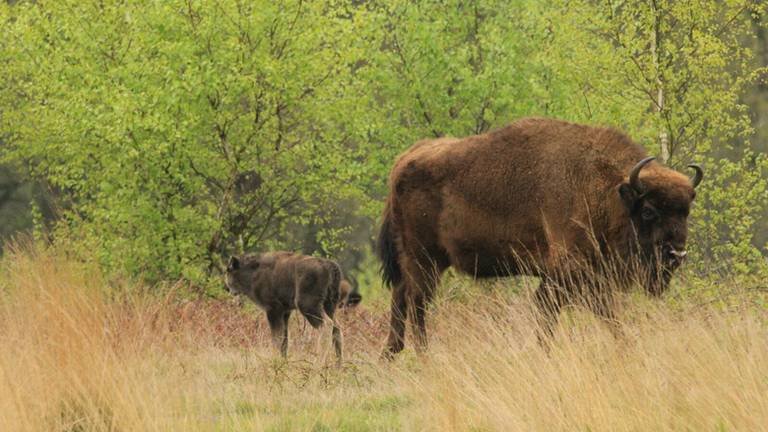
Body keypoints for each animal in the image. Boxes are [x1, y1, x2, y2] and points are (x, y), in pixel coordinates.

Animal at [378, 116, 704, 356]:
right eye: (648, 211)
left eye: (686, 211)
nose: (677, 254)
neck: (606, 191)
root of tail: (403, 161)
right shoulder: (569, 271)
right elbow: (581, 311)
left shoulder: (575, 275)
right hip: (424, 260)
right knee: (417, 302)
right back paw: (423, 354)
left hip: (419, 261)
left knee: (401, 296)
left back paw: (393, 353)